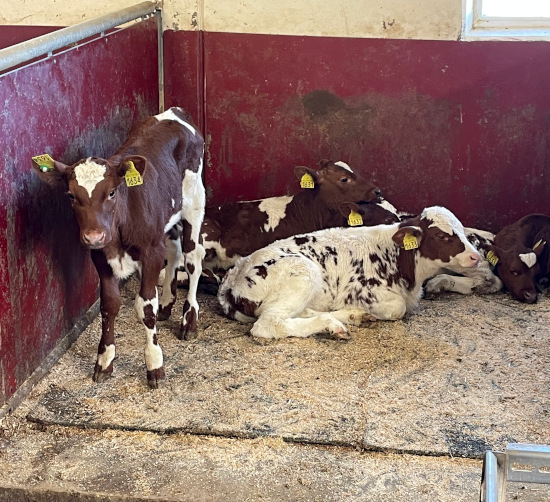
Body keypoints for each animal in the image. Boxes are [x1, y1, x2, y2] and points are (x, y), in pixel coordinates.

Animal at [34, 107, 207, 388]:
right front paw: (104, 361)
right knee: (174, 251)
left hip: (194, 200)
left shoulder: (151, 251)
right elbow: (109, 305)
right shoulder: (100, 256)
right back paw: (167, 304)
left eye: (112, 192)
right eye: (71, 196)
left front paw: (154, 364)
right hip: (168, 217)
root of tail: (174, 112)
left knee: (193, 257)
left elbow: (145, 307)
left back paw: (189, 320)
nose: (94, 236)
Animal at [218, 206, 480, 340]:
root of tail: (231, 279)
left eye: (462, 231)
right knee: (268, 324)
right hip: (304, 272)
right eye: (442, 236)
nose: (476, 256)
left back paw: (351, 316)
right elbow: (397, 308)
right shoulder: (366, 291)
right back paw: (330, 324)